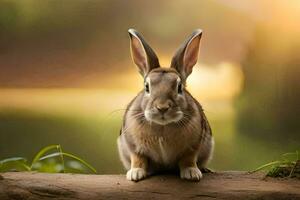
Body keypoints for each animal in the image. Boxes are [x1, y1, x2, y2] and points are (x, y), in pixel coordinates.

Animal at [116, 28, 213, 182]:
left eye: (179, 87)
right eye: (147, 87)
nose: (162, 107)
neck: (163, 126)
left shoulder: (193, 147)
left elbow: (188, 159)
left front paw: (192, 173)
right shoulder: (133, 147)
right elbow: (138, 158)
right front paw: (136, 173)